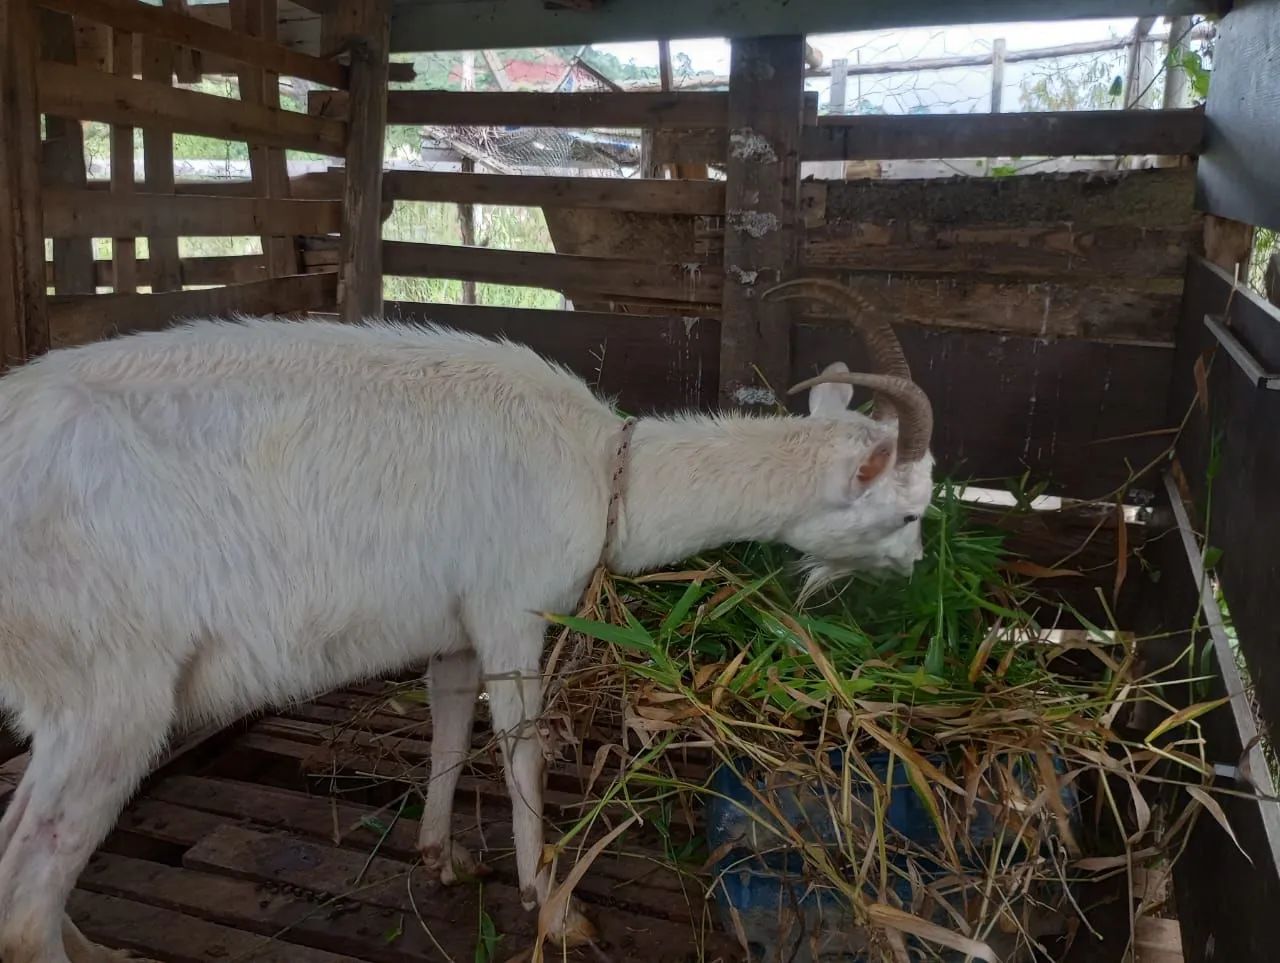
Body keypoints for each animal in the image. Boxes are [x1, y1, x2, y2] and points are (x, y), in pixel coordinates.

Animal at [0, 280, 933, 962]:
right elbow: (524, 750)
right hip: (108, 687)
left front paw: (440, 856)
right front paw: (552, 907)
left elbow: (449, 730)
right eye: (907, 511)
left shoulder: (452, 627)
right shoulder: (511, 610)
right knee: (27, 898)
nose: (920, 568)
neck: (600, 464)